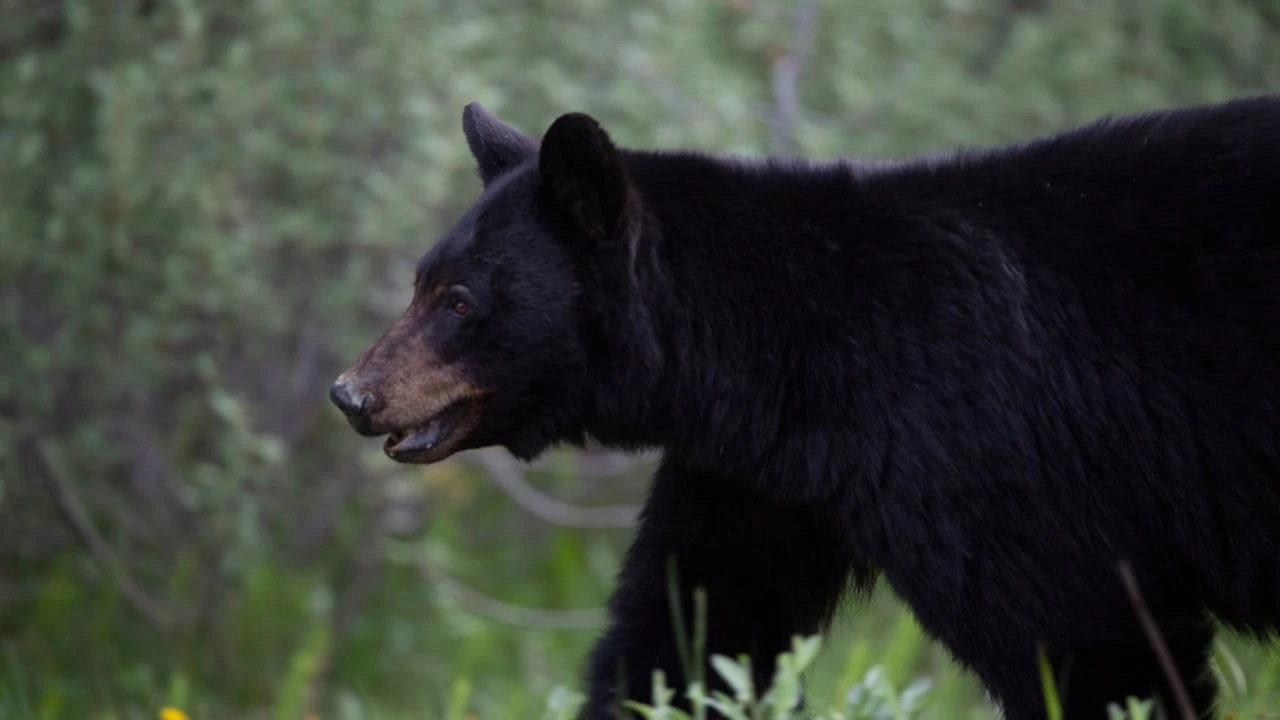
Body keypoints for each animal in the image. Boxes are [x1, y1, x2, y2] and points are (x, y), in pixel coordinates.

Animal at [329, 96, 1280, 720]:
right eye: (420, 282)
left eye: (459, 301)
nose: (350, 394)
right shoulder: (760, 482)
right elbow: (692, 631)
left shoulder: (983, 447)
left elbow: (1082, 638)